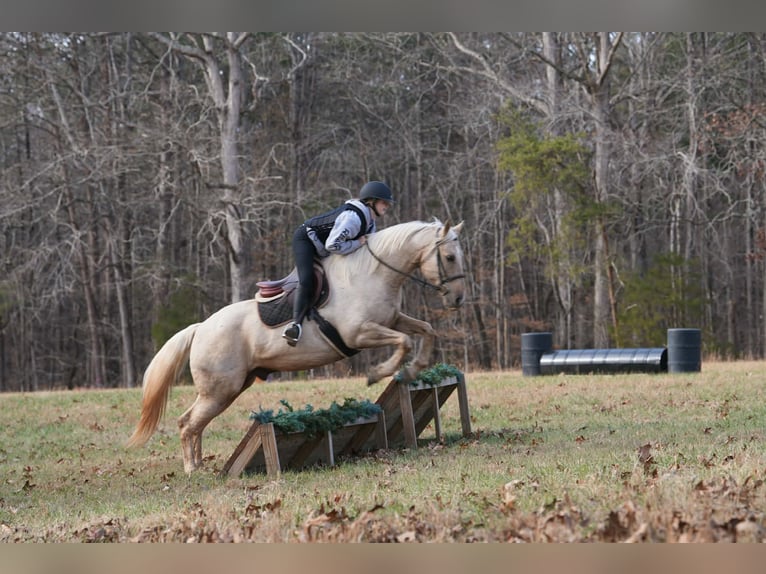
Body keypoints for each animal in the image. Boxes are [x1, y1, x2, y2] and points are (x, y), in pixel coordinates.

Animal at [127, 219, 467, 473]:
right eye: (450, 257)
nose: (458, 299)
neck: (371, 274)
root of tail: (200, 329)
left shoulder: (393, 319)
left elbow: (425, 331)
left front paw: (414, 370)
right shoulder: (359, 334)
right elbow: (404, 341)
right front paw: (378, 373)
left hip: (229, 389)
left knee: (194, 422)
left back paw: (198, 464)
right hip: (220, 389)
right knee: (188, 423)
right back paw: (191, 469)